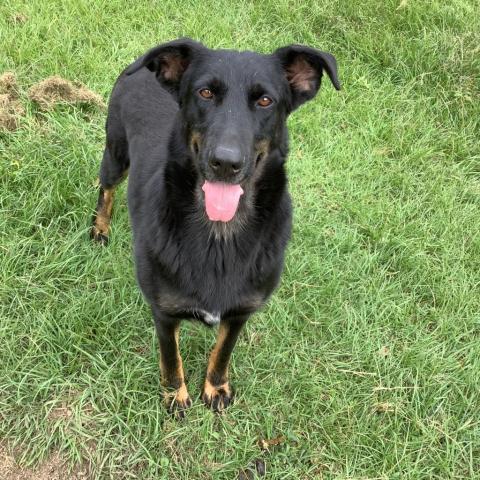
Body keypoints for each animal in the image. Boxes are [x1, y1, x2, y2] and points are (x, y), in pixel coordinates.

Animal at [92, 38, 340, 416]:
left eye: (265, 100)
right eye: (205, 92)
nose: (225, 162)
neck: (220, 236)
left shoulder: (240, 312)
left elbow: (222, 352)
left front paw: (216, 387)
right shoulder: (163, 312)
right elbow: (171, 358)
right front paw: (175, 395)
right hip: (115, 154)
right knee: (105, 188)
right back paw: (100, 227)